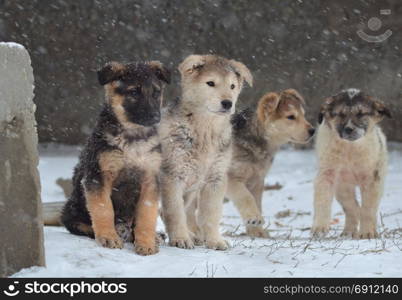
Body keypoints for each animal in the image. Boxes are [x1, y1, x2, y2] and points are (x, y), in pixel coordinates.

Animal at [60, 61, 170, 255]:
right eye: (134, 92)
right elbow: (104, 208)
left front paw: (146, 243)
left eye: (156, 92)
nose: (155, 117)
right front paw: (109, 237)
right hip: (71, 208)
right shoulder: (98, 176)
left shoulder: (150, 179)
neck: (132, 137)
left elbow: (146, 214)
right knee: (81, 224)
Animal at [159, 54, 251, 251]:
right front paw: (180, 239)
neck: (205, 131)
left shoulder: (215, 178)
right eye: (210, 83)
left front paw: (214, 241)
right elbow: (174, 212)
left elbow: (211, 214)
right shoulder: (172, 175)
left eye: (232, 86)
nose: (227, 103)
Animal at [312, 89, 392, 239]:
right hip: (342, 188)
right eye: (340, 114)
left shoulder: (371, 178)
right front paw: (319, 227)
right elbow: (322, 200)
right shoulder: (327, 174)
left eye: (361, 114)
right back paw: (348, 231)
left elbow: (368, 208)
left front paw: (367, 232)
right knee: (351, 206)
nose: (349, 129)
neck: (350, 148)